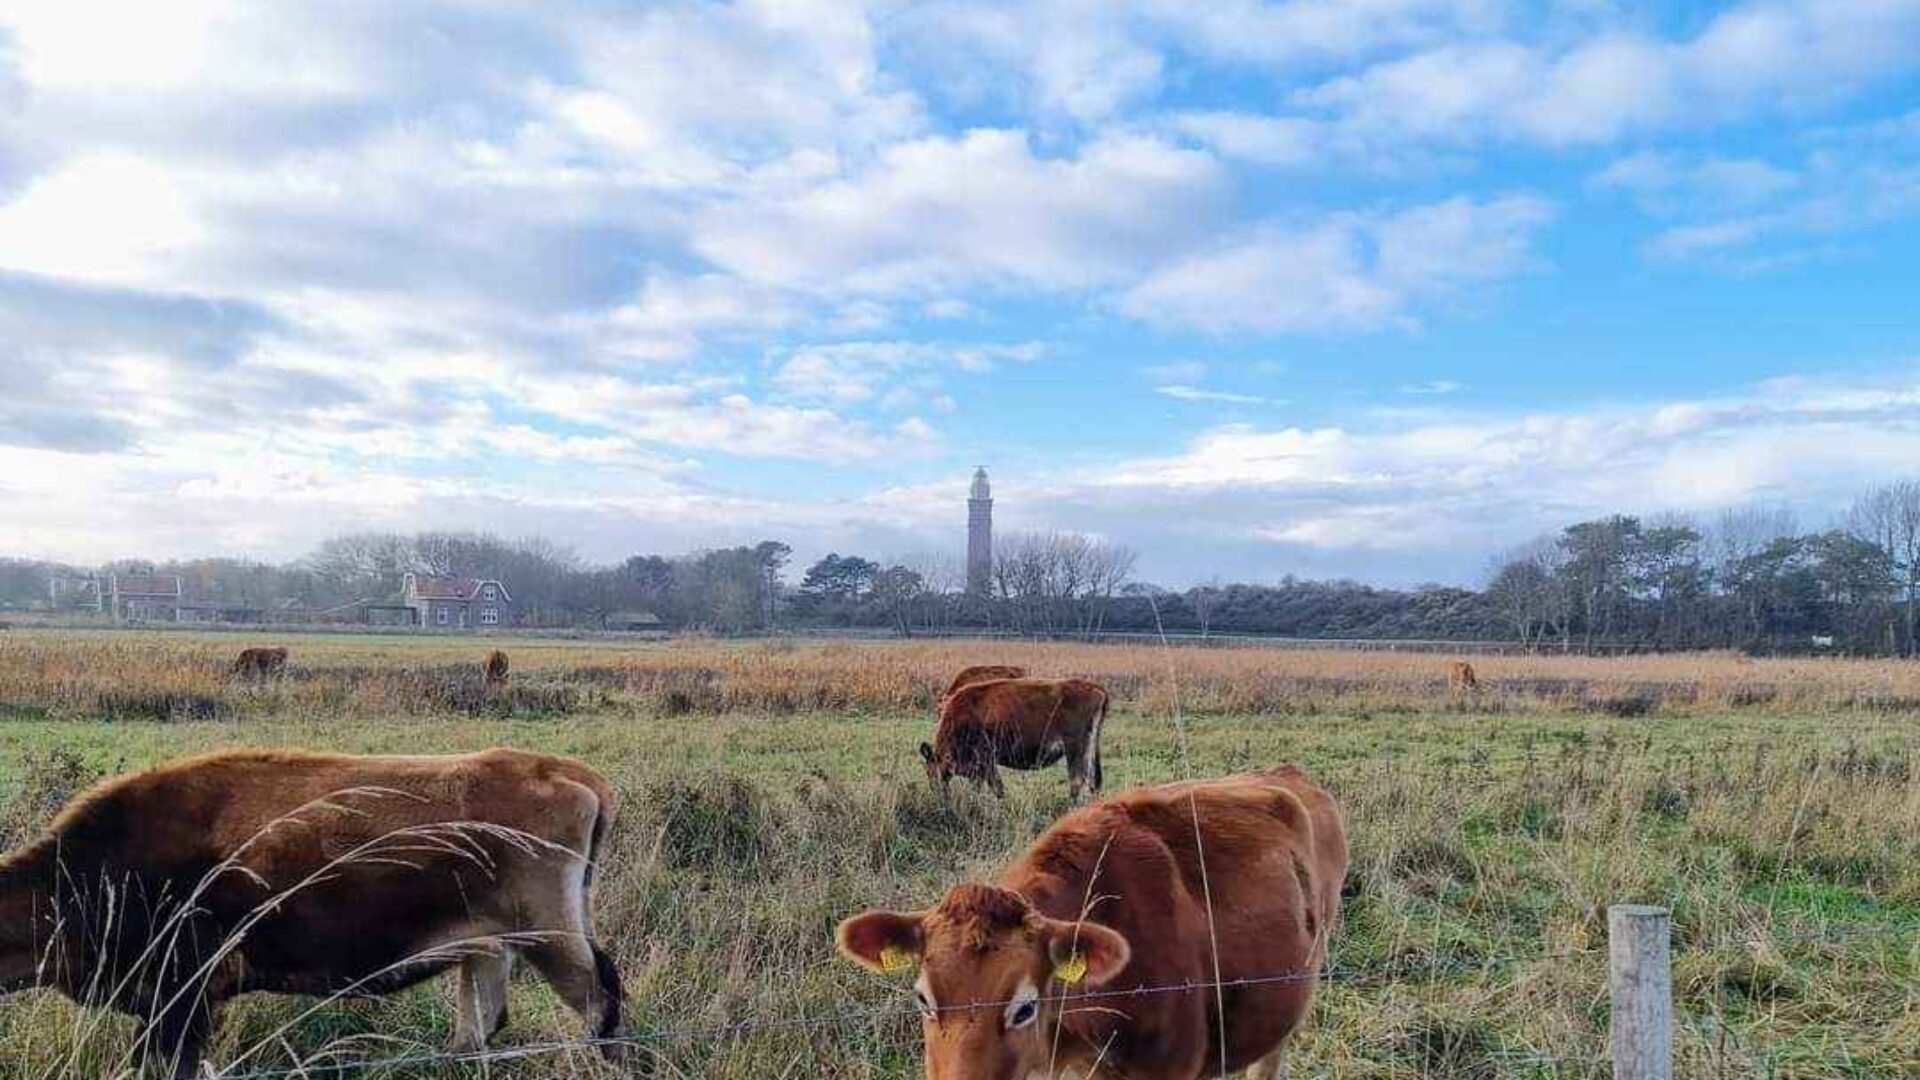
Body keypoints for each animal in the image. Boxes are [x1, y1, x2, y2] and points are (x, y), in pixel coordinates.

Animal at [0, 748, 624, 1078]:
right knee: (481, 1025)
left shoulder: (183, 998)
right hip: (489, 947)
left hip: (551, 937)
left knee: (599, 1001)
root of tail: (572, 774)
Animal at [920, 677, 1108, 799]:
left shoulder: (986, 761)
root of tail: (1095, 687)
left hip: (1075, 750)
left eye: (930, 771)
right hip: (1088, 751)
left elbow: (997, 788)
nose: (936, 792)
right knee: (1092, 784)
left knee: (1077, 782)